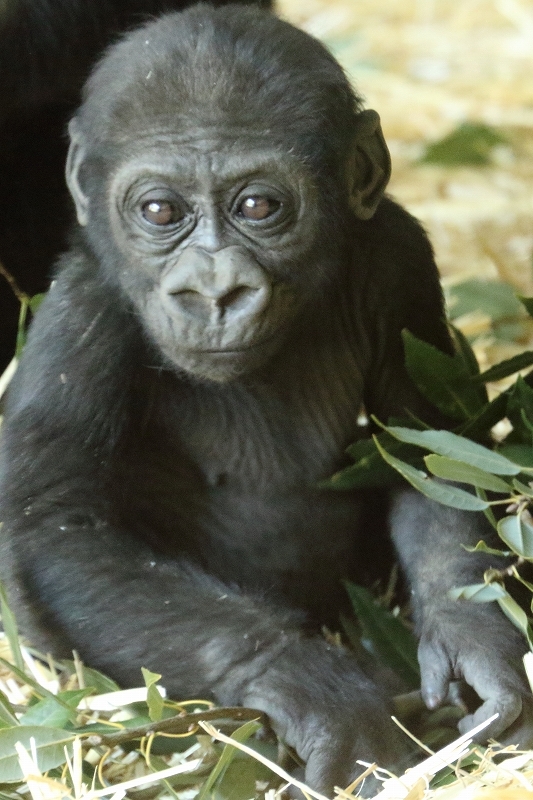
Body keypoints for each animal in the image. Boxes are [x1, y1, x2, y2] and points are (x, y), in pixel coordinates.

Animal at [0, 4, 528, 792]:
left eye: (258, 205)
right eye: (161, 210)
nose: (215, 289)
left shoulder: (398, 259)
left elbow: (424, 448)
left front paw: (476, 636)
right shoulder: (83, 315)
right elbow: (55, 528)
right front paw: (312, 687)